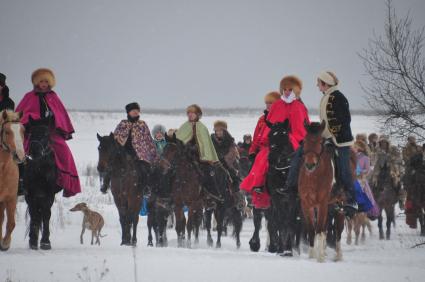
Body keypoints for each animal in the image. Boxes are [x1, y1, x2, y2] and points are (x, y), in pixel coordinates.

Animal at [24, 116, 61, 249]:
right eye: (31, 133)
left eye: (46, 134)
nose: (34, 151)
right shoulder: (30, 194)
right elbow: (34, 214)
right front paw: (33, 241)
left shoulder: (49, 194)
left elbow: (46, 214)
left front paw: (45, 242)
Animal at [264, 119, 302, 256]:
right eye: (269, 135)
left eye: (284, 135)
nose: (271, 159)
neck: (284, 172)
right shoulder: (276, 198)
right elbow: (280, 222)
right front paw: (281, 248)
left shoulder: (293, 198)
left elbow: (290, 221)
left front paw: (288, 249)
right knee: (273, 222)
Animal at [296, 122, 350, 264]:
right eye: (305, 141)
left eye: (320, 142)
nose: (310, 164)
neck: (314, 177)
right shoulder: (306, 204)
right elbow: (311, 229)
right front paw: (312, 255)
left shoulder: (322, 204)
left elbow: (319, 230)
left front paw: (319, 258)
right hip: (329, 206)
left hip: (339, 205)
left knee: (338, 230)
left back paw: (338, 255)